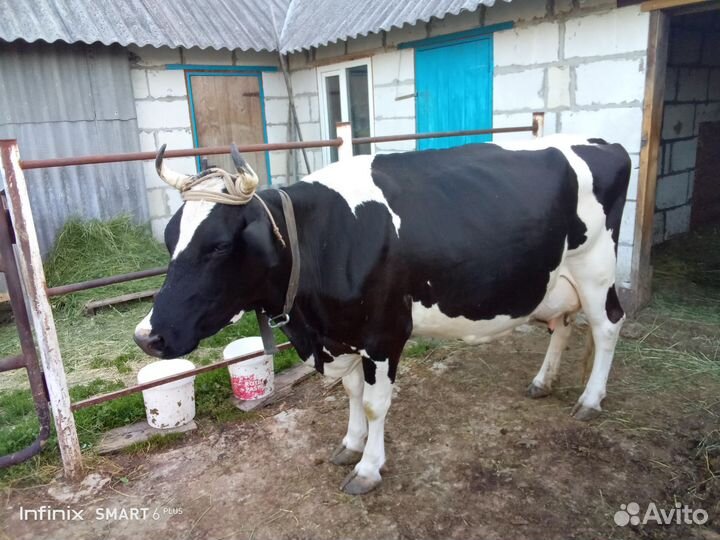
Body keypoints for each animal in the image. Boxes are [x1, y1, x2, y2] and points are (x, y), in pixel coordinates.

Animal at [134, 135, 630, 495]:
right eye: (170, 237)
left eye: (218, 246)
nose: (146, 337)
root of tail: (603, 142)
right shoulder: (344, 334)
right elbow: (352, 393)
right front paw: (350, 445)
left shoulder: (382, 334)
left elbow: (375, 404)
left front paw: (369, 468)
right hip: (555, 280)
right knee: (563, 324)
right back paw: (544, 381)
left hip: (595, 269)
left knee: (608, 326)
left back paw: (590, 399)